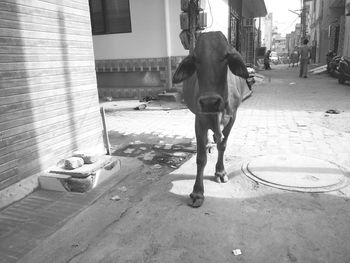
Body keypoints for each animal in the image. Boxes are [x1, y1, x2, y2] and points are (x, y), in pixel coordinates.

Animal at [172, 31, 249, 208]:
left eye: (226, 56)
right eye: (195, 59)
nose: (209, 102)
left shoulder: (232, 118)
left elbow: (223, 145)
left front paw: (220, 172)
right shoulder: (199, 121)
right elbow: (201, 159)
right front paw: (198, 192)